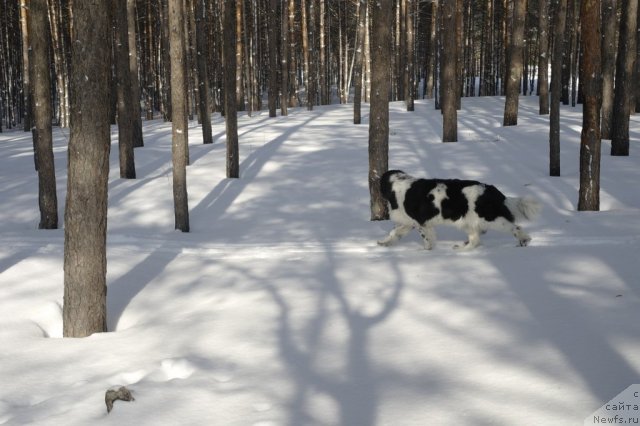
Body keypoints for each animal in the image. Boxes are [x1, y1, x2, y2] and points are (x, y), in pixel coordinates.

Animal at [378, 170, 544, 250]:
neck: (397, 185)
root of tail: (494, 191)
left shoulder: (421, 223)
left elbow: (427, 239)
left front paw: (426, 251)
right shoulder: (409, 222)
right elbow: (394, 233)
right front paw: (384, 243)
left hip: (491, 219)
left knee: (515, 227)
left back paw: (524, 240)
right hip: (468, 222)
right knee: (475, 239)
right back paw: (461, 248)